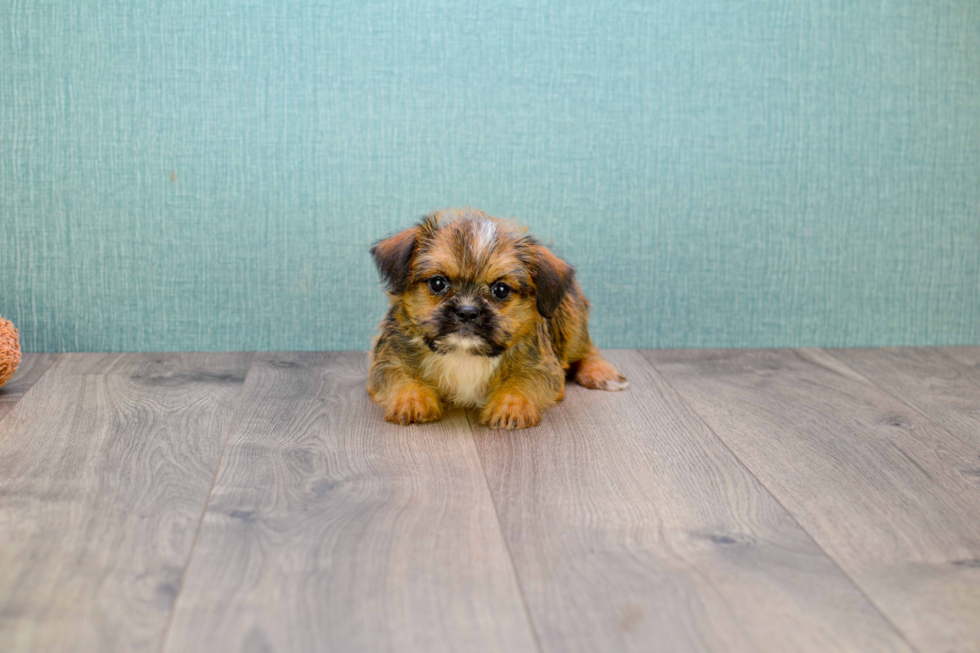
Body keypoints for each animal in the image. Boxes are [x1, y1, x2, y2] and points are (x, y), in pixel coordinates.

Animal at [368, 206, 628, 428]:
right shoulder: (386, 361)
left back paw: (599, 372)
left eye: (501, 290)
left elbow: (523, 382)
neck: (464, 354)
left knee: (589, 350)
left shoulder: (544, 369)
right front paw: (412, 400)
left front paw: (512, 405)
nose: (467, 311)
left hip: (573, 326)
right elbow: (401, 378)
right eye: (438, 283)